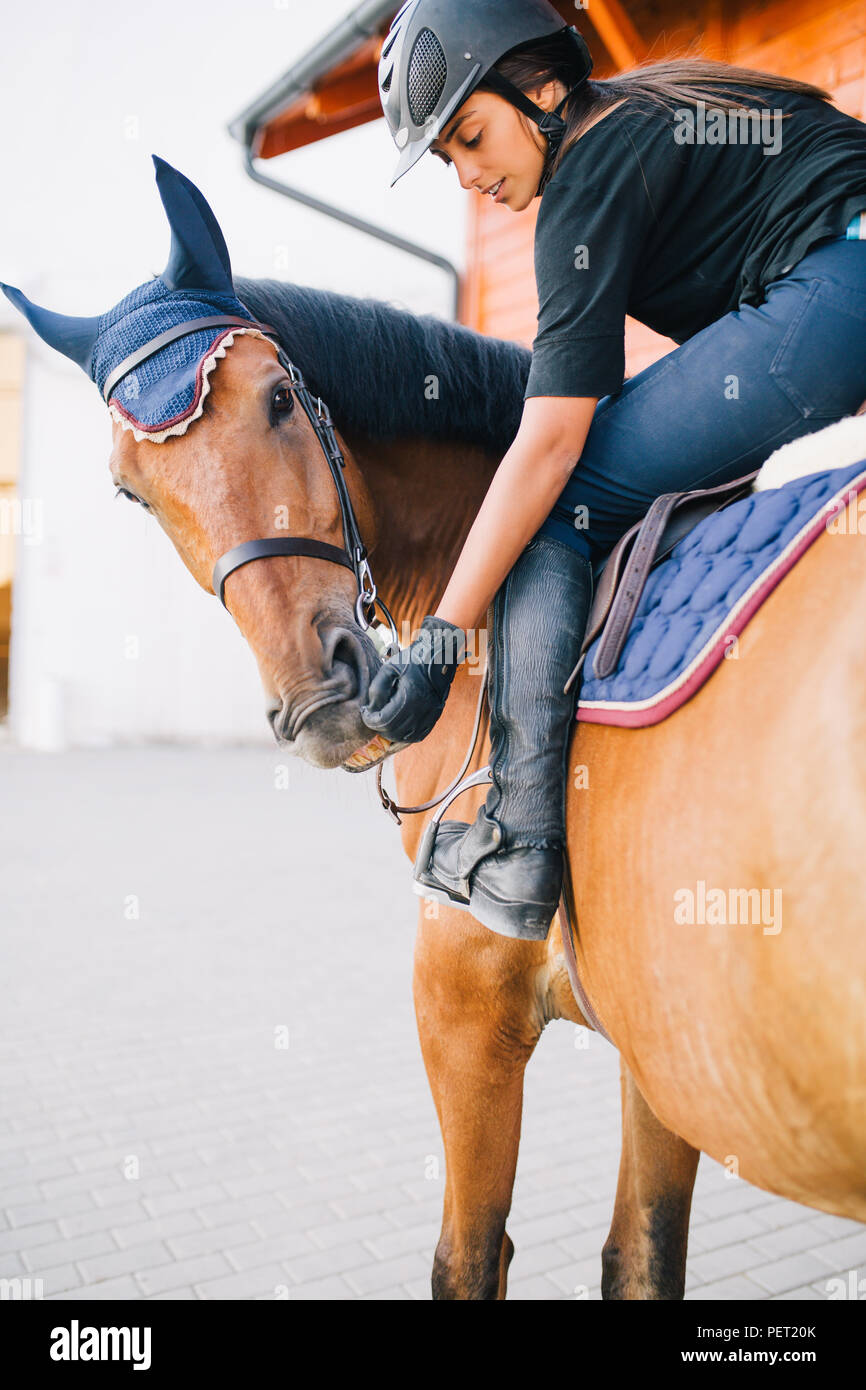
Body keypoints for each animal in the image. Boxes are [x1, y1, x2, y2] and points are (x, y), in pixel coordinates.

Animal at [101, 276, 866, 1295]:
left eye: (280, 398)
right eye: (132, 493)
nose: (320, 696)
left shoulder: (462, 1001)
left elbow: (468, 1257)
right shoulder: (661, 1047)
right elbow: (642, 1254)